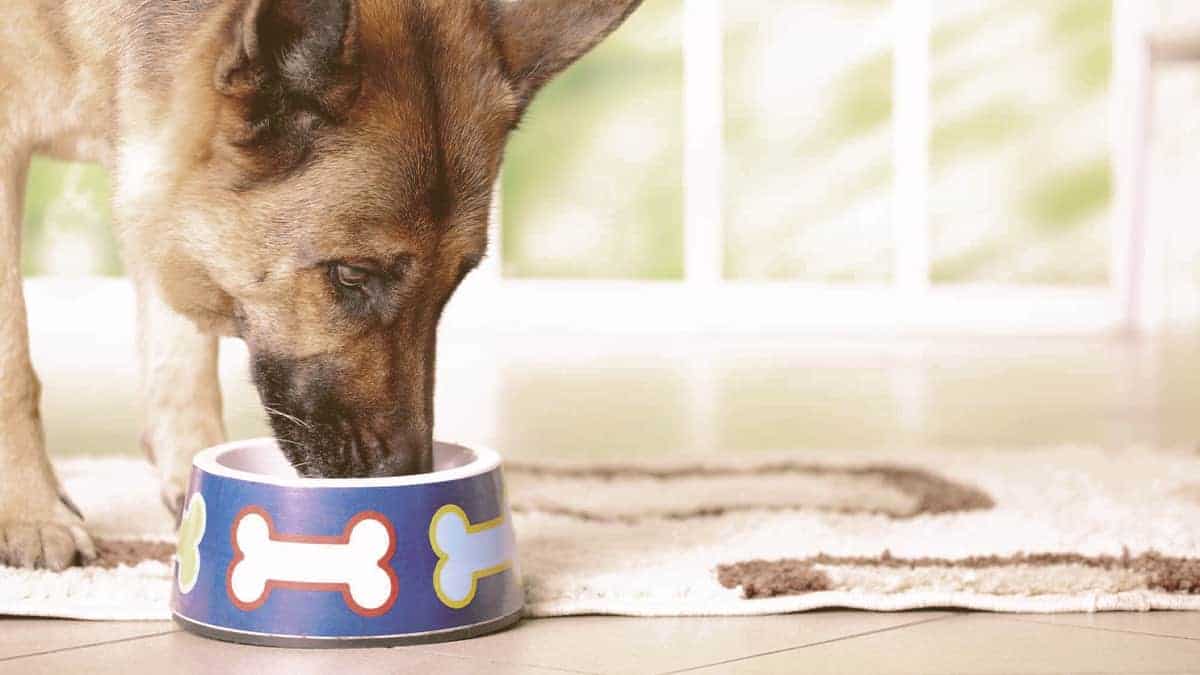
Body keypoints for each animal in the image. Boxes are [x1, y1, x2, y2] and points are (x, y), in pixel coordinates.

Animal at [0, 0, 643, 566]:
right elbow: (14, 368)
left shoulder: (158, 176)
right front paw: (32, 513)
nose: (405, 475)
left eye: (454, 281)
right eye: (353, 275)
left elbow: (181, 361)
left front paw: (191, 480)